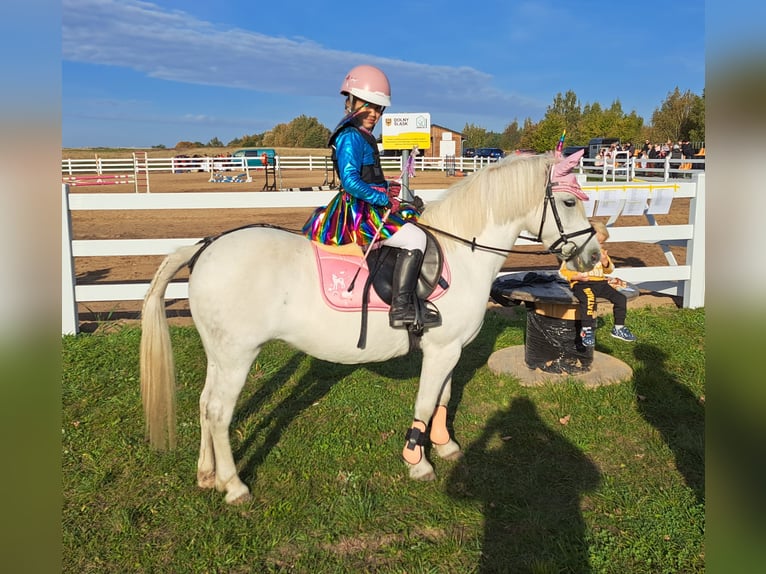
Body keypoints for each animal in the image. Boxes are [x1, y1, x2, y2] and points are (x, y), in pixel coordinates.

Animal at [142, 148, 600, 504]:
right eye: (569, 202)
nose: (594, 256)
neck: (464, 252)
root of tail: (206, 247)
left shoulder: (450, 349)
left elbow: (442, 398)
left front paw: (445, 445)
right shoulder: (441, 350)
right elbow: (425, 402)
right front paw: (417, 462)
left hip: (219, 355)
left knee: (205, 406)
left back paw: (206, 475)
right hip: (238, 356)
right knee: (220, 413)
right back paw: (234, 486)